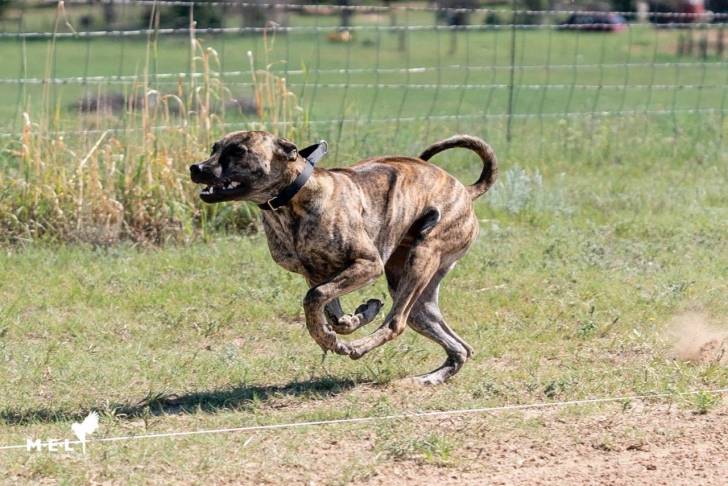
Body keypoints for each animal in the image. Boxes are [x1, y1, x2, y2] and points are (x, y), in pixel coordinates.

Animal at [190, 131, 497, 384]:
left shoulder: (367, 264)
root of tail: (465, 189)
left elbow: (314, 300)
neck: (294, 200)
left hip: (421, 259)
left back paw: (358, 348)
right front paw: (358, 316)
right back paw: (433, 376)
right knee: (460, 347)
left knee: (395, 324)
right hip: (414, 292)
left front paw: (330, 337)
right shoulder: (315, 274)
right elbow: (331, 311)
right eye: (215, 148)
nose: (196, 168)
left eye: (238, 151)